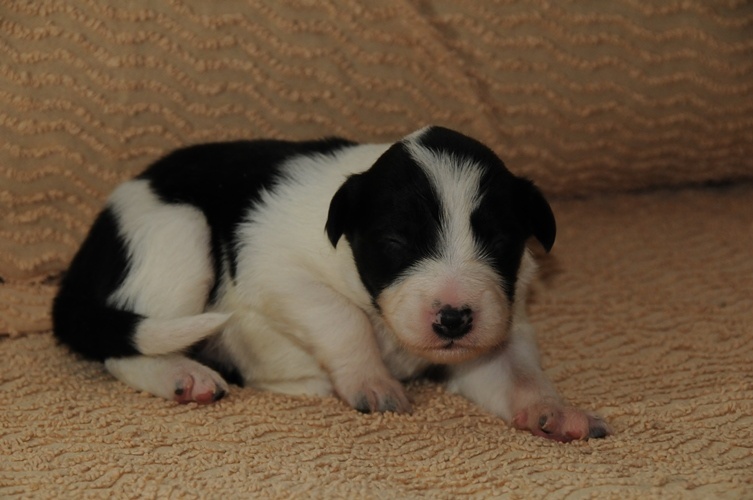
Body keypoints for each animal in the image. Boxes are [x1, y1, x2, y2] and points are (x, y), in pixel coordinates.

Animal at [53, 125, 608, 442]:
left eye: (499, 240)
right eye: (396, 242)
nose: (453, 319)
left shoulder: (494, 335)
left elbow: (520, 375)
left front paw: (556, 412)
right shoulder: (277, 270)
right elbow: (341, 318)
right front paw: (371, 381)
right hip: (180, 235)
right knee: (123, 349)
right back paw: (183, 376)